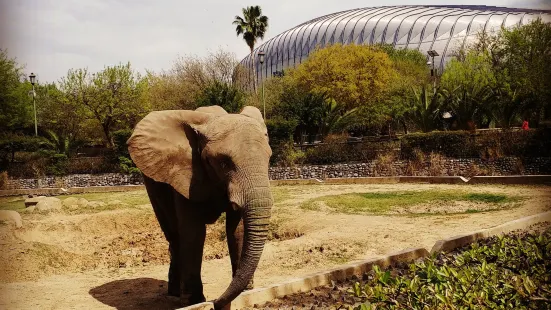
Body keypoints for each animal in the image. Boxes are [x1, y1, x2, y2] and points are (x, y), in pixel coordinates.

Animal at [125, 105, 272, 308]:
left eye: (269, 158)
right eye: (224, 163)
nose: (216, 302)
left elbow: (237, 229)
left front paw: (247, 290)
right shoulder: (185, 176)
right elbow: (193, 232)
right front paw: (194, 301)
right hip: (153, 184)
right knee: (174, 235)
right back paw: (175, 294)